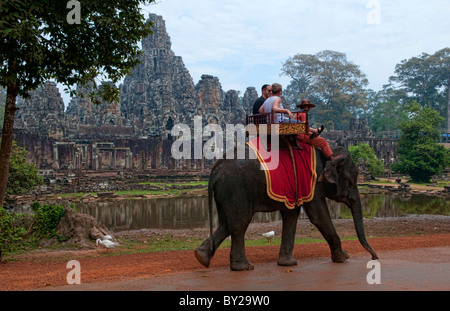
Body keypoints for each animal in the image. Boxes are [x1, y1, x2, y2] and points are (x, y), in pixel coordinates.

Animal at [193, 145, 376, 272]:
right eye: (353, 178)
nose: (374, 257)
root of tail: (215, 171)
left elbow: (291, 215)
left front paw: (287, 263)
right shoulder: (312, 183)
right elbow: (317, 215)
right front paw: (344, 257)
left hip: (225, 193)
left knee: (225, 224)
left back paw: (201, 257)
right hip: (236, 189)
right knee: (239, 224)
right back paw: (243, 267)